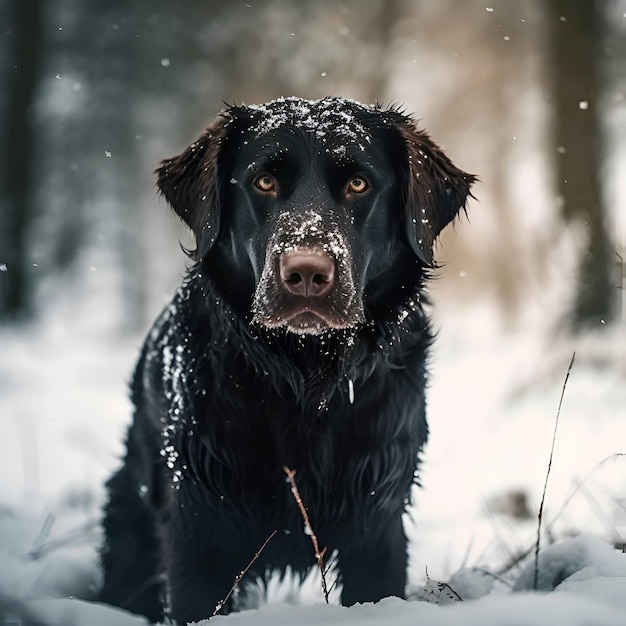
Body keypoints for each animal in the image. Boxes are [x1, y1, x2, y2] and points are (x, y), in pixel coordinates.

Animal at [98, 95, 472, 620]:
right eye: (264, 181)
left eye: (359, 184)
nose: (307, 274)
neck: (304, 375)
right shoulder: (198, 531)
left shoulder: (377, 525)